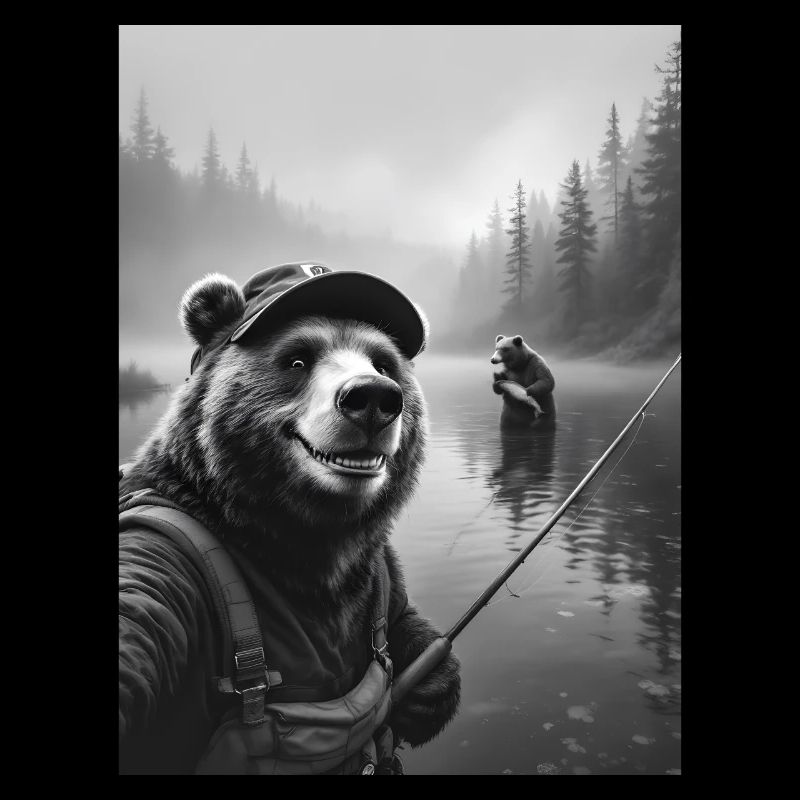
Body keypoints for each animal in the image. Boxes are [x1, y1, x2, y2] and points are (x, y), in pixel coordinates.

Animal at [118, 266, 461, 774]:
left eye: (383, 363)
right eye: (297, 359)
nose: (373, 396)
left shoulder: (373, 563)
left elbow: (399, 612)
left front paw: (431, 686)